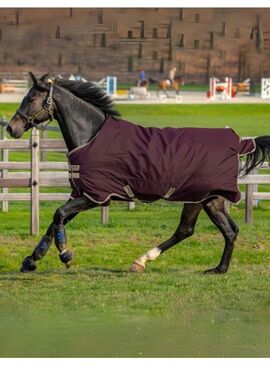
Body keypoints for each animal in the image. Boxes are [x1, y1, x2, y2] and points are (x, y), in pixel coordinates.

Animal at [7, 72, 270, 274]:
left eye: (31, 98)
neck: (92, 136)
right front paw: (31, 260)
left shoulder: (96, 197)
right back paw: (217, 269)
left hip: (198, 198)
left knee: (190, 230)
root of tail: (238, 143)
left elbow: (59, 214)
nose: (11, 128)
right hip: (209, 200)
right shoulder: (81, 194)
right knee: (226, 231)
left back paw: (143, 260)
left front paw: (66, 255)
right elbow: (55, 221)